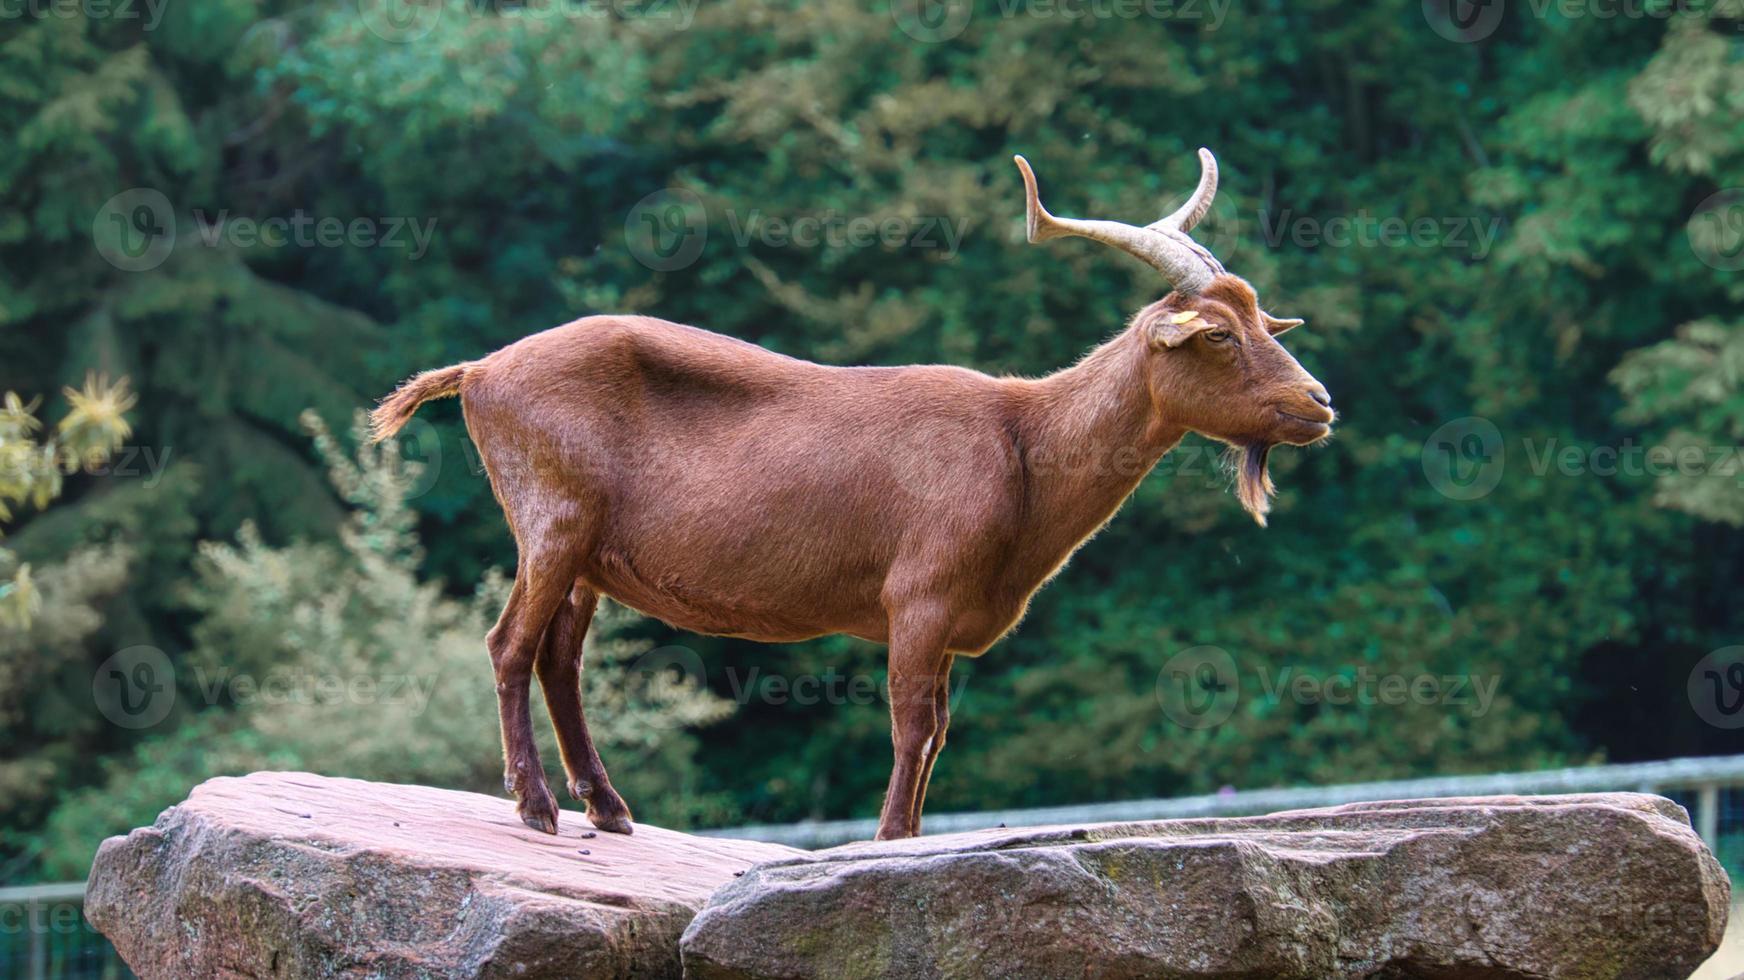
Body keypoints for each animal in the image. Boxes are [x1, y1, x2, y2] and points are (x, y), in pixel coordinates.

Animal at [371, 149, 1332, 837]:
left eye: (1264, 317)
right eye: (1217, 334)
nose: (1319, 402)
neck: (1023, 443)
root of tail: (481, 371)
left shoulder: (948, 620)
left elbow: (937, 730)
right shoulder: (921, 596)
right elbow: (913, 728)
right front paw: (890, 841)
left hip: (589, 557)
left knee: (559, 657)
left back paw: (608, 812)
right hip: (552, 520)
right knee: (508, 645)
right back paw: (535, 807)